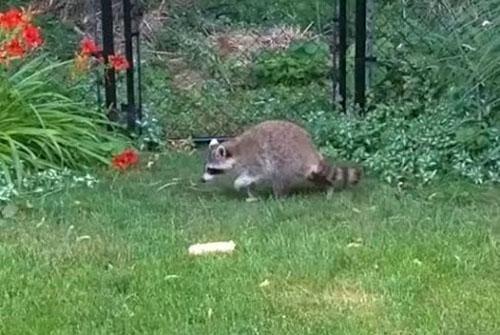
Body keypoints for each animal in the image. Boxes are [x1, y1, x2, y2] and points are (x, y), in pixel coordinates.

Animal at [201, 121, 362, 200]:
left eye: (211, 169)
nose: (202, 180)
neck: (235, 151)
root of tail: (311, 151)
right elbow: (250, 181)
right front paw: (251, 193)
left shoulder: (255, 161)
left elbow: (254, 174)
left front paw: (239, 183)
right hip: (304, 168)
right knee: (315, 176)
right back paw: (328, 186)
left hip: (288, 160)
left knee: (279, 177)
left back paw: (279, 197)